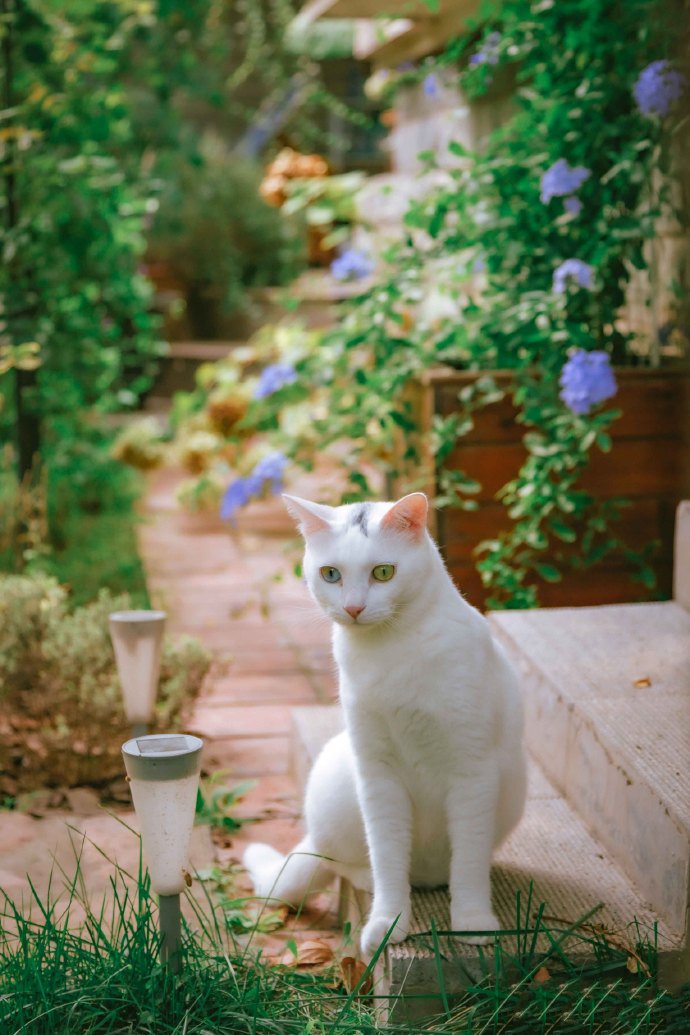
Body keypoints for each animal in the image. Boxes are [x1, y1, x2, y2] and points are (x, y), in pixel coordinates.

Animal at [244, 494, 529, 960]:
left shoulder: (472, 772)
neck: (391, 648)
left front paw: (472, 920)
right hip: (338, 774)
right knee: (351, 864)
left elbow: (468, 861)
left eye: (383, 572)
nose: (354, 607)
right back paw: (367, 880)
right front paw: (389, 920)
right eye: (331, 574)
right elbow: (387, 856)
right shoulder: (377, 775)